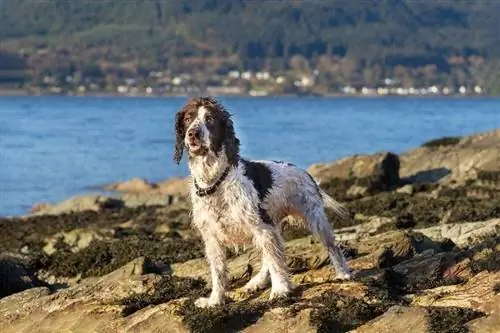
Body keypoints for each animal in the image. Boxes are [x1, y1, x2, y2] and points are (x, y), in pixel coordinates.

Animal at [174, 95, 354, 306]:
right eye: (188, 119)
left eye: (209, 119)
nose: (193, 134)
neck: (215, 181)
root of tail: (305, 172)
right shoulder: (212, 237)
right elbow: (218, 272)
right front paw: (214, 301)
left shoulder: (260, 226)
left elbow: (276, 262)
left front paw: (280, 290)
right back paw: (256, 282)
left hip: (314, 218)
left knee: (332, 246)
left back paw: (343, 273)